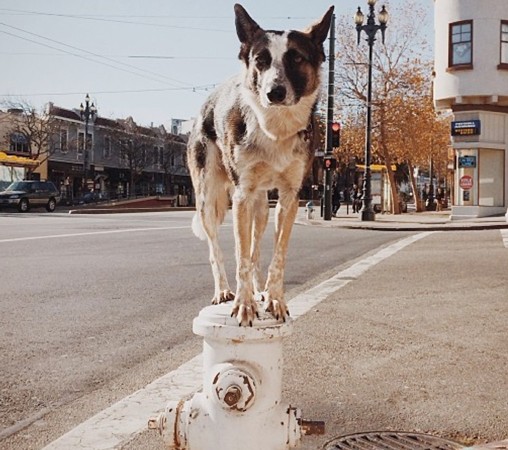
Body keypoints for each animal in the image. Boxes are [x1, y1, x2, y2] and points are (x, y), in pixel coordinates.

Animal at [187, 3, 334, 326]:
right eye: (261, 61)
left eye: (296, 58)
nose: (274, 92)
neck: (274, 128)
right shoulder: (241, 197)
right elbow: (240, 257)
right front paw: (244, 304)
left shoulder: (289, 198)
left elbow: (276, 255)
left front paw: (274, 298)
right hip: (209, 199)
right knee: (216, 249)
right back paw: (224, 291)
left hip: (262, 208)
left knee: (255, 250)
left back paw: (258, 290)